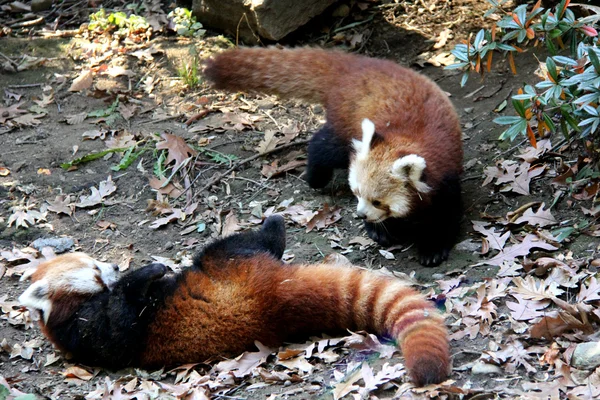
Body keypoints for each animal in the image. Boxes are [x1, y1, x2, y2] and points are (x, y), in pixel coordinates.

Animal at [18, 216, 450, 388]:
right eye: (94, 268)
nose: (111, 264)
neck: (67, 317)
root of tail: (277, 293)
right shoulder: (99, 331)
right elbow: (127, 310)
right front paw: (150, 270)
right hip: (230, 263)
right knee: (242, 244)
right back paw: (274, 225)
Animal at [203, 47, 464, 266]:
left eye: (378, 201)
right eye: (356, 193)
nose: (361, 214)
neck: (410, 140)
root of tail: (359, 66)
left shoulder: (448, 174)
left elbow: (445, 213)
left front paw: (432, 247)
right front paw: (380, 230)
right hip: (345, 124)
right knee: (324, 147)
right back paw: (315, 177)